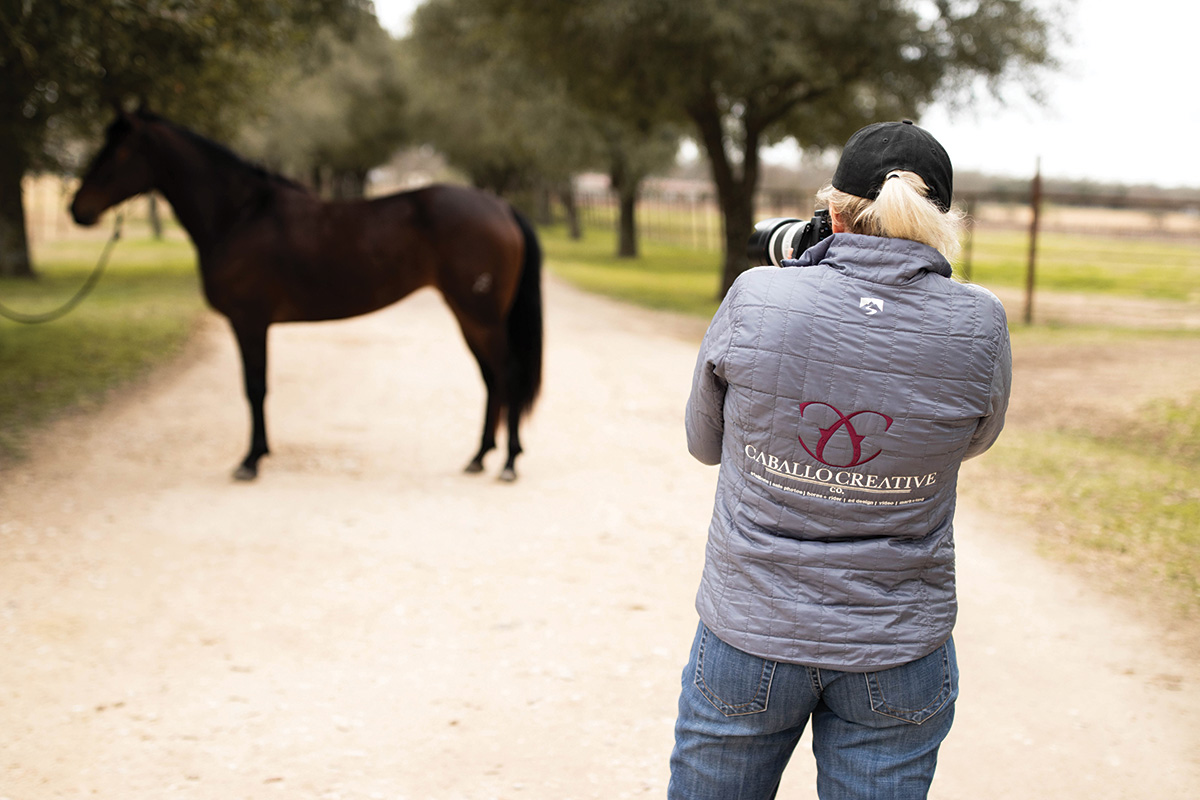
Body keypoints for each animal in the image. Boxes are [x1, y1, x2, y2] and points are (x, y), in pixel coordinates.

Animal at [70, 109, 542, 482]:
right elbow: (256, 388)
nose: (77, 209)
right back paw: (479, 457)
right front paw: (259, 454)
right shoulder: (251, 324)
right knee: (492, 380)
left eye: (119, 153)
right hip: (468, 315)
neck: (241, 216)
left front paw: (250, 461)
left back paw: (508, 464)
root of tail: (501, 206)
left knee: (508, 375)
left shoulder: (249, 322)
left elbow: (255, 387)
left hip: (480, 316)